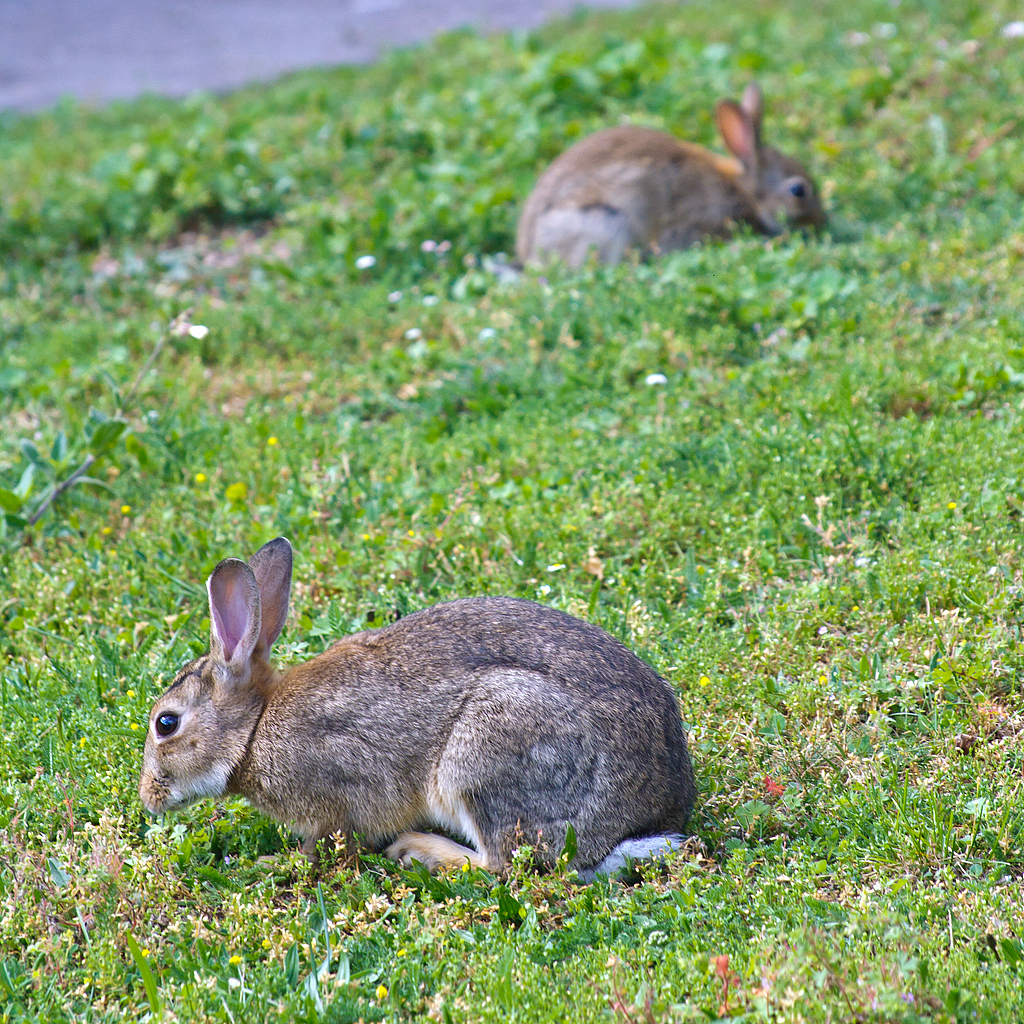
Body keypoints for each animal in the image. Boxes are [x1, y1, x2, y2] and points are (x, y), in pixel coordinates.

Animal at [138, 536, 696, 880]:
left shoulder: (336, 795)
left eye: (166, 723)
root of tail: (646, 819)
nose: (148, 798)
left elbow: (324, 845)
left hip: (485, 756)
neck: (254, 730)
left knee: (504, 863)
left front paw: (277, 864)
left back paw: (417, 849)